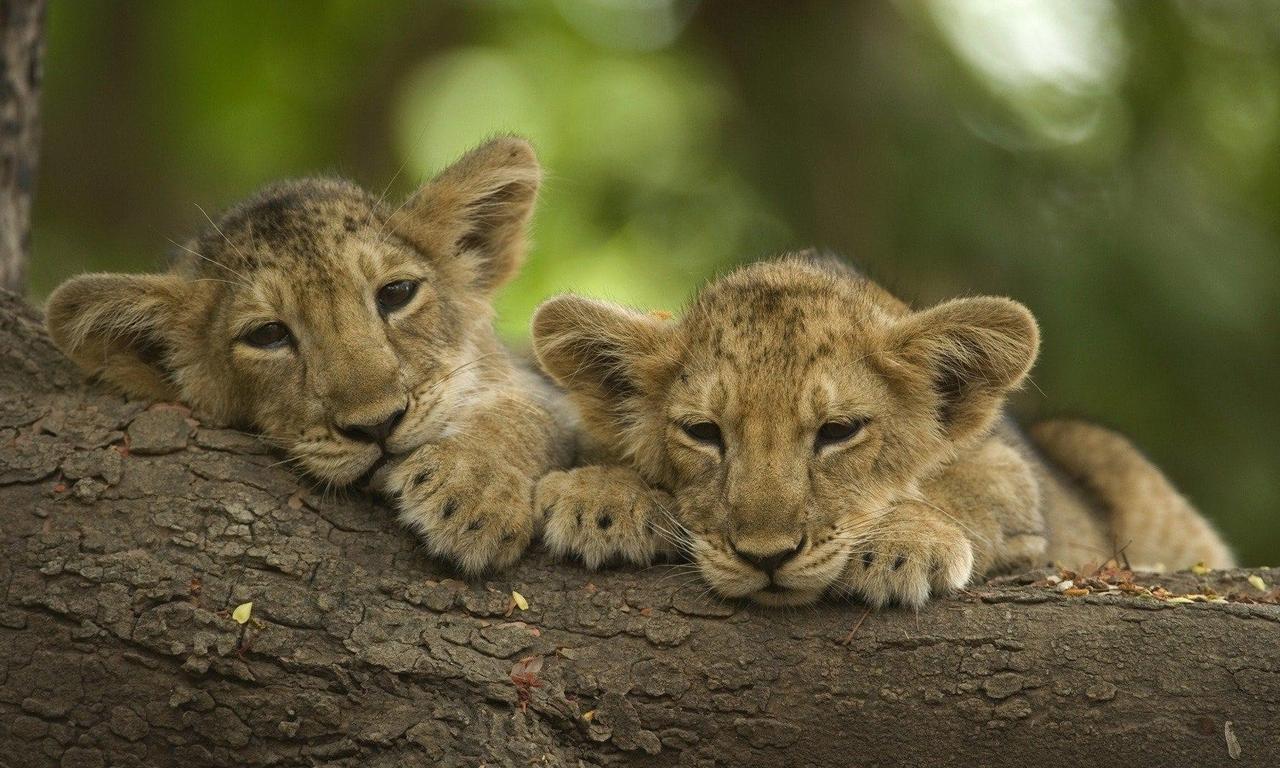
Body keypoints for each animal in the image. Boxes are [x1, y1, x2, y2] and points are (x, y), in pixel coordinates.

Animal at [529, 254, 1234, 607]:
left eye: (838, 431)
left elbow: (965, 489)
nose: (766, 558)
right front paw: (604, 498)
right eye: (703, 432)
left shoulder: (1013, 476)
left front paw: (898, 545)